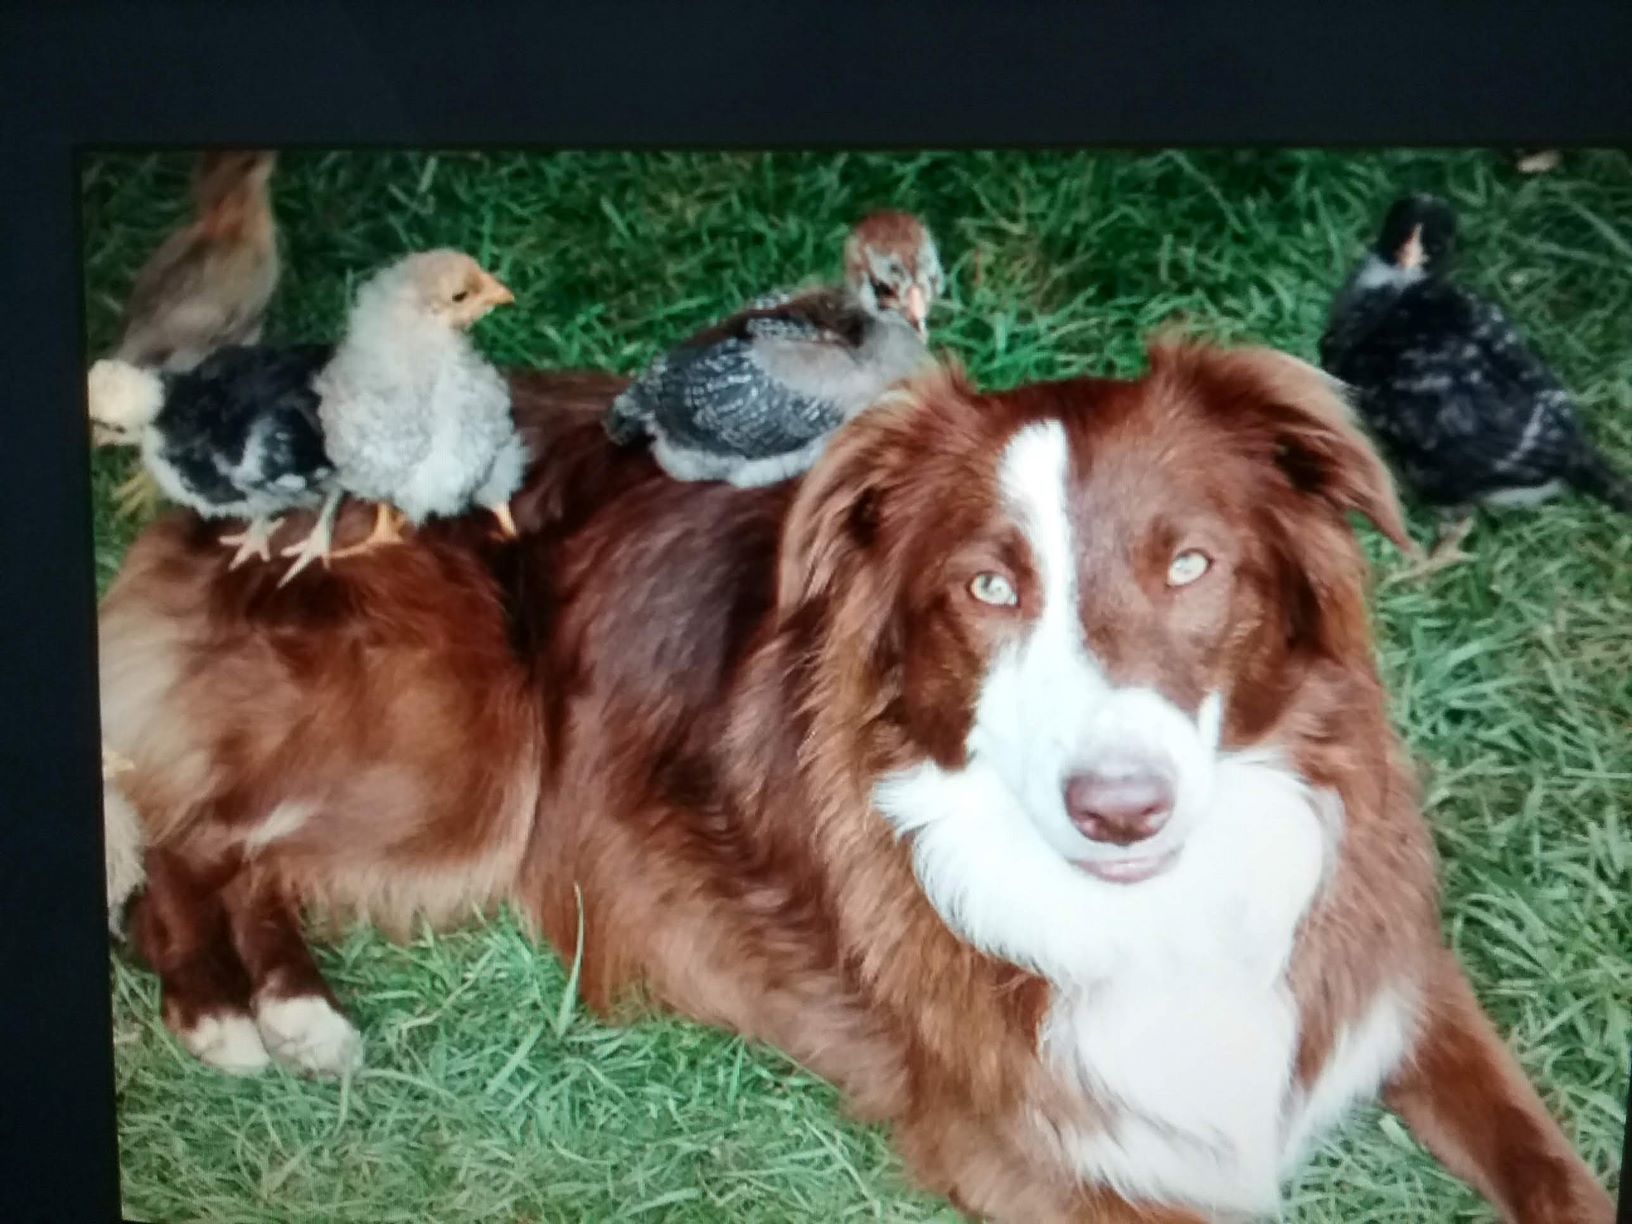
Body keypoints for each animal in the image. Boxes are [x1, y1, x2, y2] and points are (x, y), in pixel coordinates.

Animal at [105, 347, 1618, 1224]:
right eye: (989, 589)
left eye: (1193, 566)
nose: (1119, 808)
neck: (1155, 916)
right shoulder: (1033, 1151)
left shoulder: (1390, 970)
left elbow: (1555, 1172)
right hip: (459, 759)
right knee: (193, 838)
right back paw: (240, 1009)